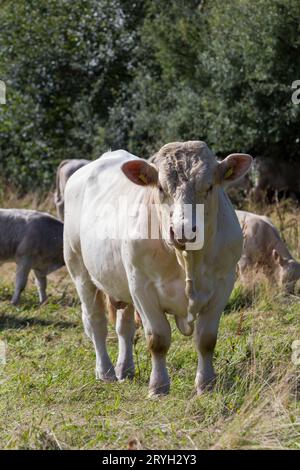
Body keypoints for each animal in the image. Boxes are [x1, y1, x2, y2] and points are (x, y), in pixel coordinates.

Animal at [64, 140, 252, 396]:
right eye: (161, 188)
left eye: (209, 186)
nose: (183, 230)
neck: (187, 260)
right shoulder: (142, 287)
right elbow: (158, 339)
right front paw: (159, 386)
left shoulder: (223, 283)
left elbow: (206, 339)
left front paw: (206, 384)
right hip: (80, 270)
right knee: (96, 322)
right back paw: (106, 371)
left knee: (124, 327)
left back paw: (125, 369)